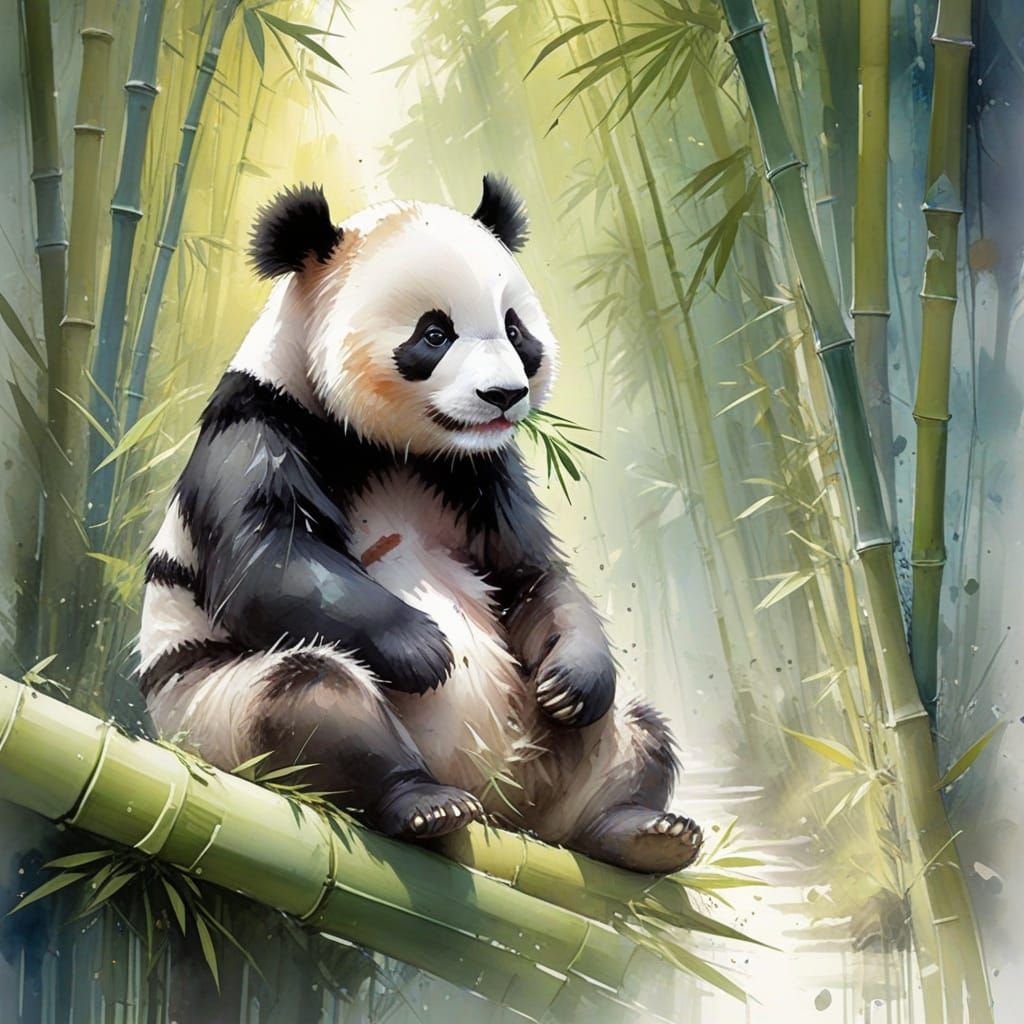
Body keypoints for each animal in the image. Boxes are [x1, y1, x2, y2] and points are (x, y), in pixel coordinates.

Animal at [139, 176, 702, 874]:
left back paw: (640, 830)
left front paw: (574, 678)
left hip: (557, 755)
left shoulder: (479, 471)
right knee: (311, 695)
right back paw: (423, 803)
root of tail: (502, 807)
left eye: (514, 329)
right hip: (211, 710)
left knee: (638, 732)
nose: (504, 395)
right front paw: (424, 649)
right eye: (434, 334)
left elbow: (530, 574)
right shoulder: (258, 429)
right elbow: (264, 562)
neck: (387, 445)